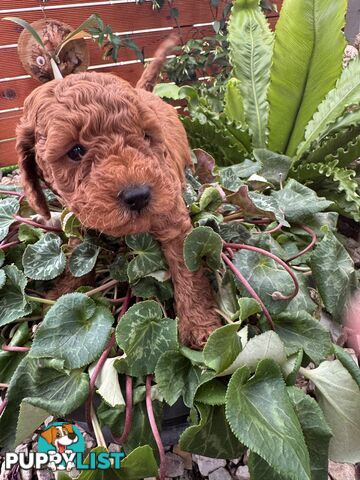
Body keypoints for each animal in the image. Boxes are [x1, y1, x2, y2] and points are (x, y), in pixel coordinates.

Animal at [16, 35, 219, 346]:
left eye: (146, 137)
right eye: (75, 151)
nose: (138, 196)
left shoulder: (171, 212)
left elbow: (187, 268)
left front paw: (199, 326)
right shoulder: (78, 221)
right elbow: (75, 257)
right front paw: (61, 294)